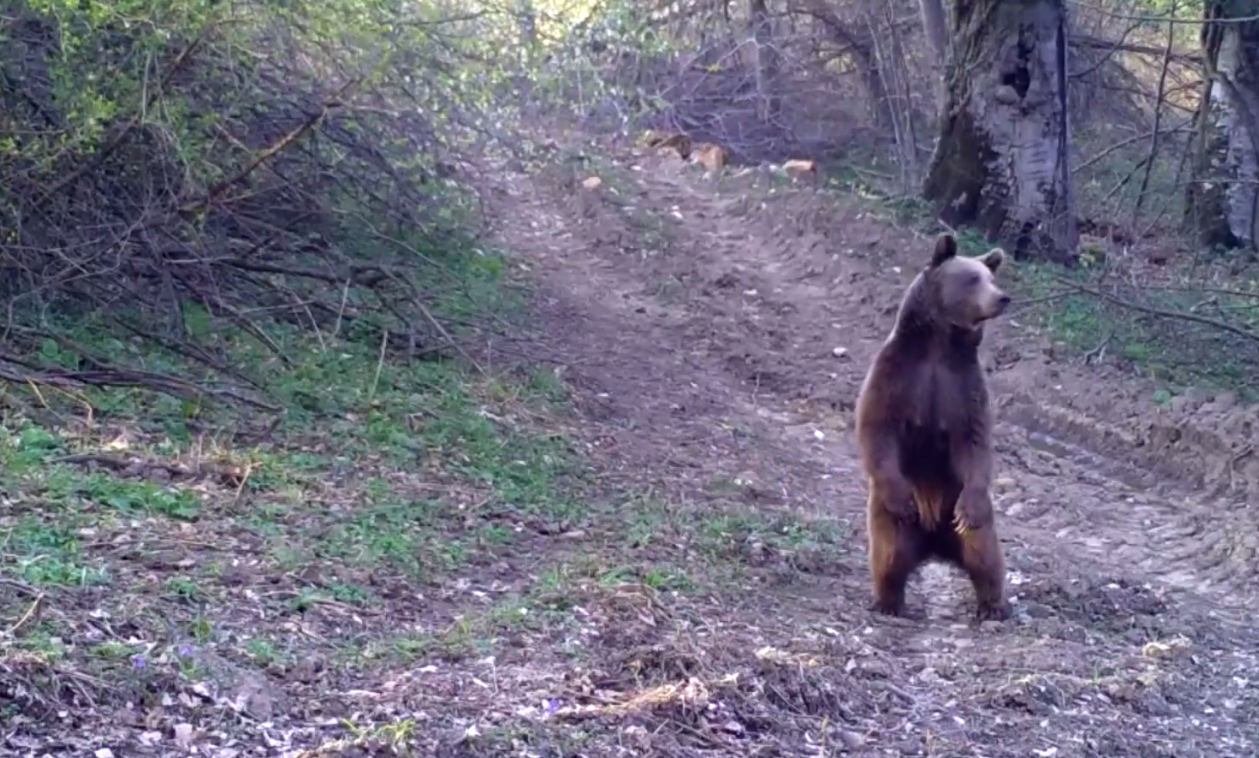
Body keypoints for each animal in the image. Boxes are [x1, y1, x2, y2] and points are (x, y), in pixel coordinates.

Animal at [846, 230, 1012, 619]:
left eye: (991, 276)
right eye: (972, 278)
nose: (1002, 297)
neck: (940, 343)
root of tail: (935, 543)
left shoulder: (964, 386)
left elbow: (975, 440)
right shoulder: (898, 375)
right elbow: (877, 427)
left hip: (960, 506)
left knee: (984, 553)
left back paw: (993, 605)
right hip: (888, 515)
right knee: (889, 552)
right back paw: (887, 600)